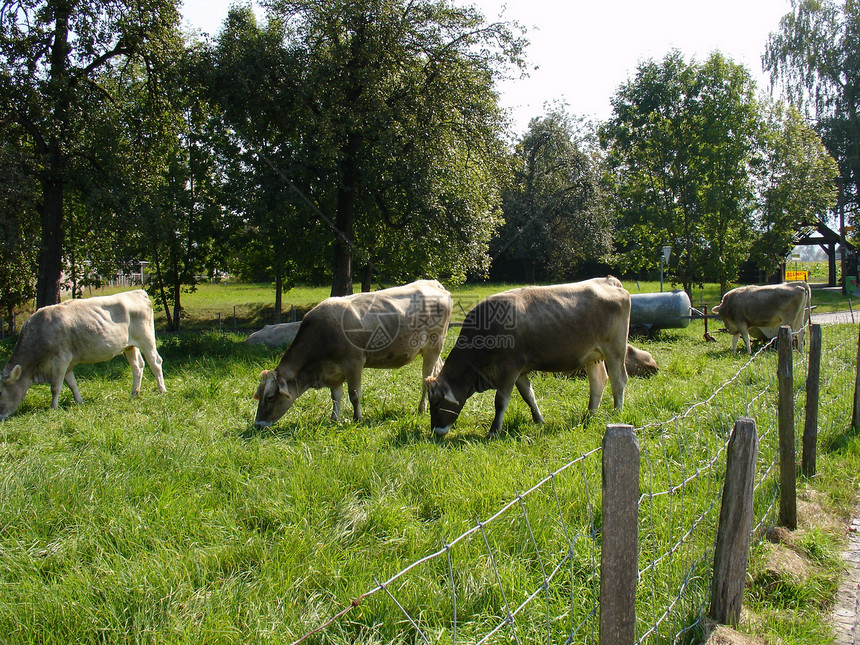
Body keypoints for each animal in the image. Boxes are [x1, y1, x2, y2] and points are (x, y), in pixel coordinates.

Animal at [0, 286, 165, 418]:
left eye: (1, 393)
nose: (1, 418)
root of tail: (138, 292)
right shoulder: (69, 363)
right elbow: (72, 383)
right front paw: (79, 401)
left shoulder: (61, 359)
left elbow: (55, 386)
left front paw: (53, 408)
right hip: (129, 346)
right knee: (138, 366)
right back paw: (134, 394)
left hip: (147, 339)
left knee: (155, 362)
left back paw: (161, 390)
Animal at [252, 278, 454, 426]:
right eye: (258, 396)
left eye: (270, 397)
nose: (258, 425)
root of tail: (432, 283)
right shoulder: (333, 372)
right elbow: (335, 396)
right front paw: (334, 419)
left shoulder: (354, 363)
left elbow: (354, 394)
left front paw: (358, 419)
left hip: (433, 346)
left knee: (426, 379)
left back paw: (421, 409)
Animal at [424, 274, 632, 436]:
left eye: (436, 403)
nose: (436, 431)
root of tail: (609, 280)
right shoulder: (520, 371)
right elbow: (528, 395)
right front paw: (539, 420)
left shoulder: (509, 370)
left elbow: (500, 401)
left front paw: (493, 431)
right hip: (592, 355)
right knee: (598, 382)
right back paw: (590, 414)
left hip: (615, 349)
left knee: (618, 380)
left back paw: (617, 412)